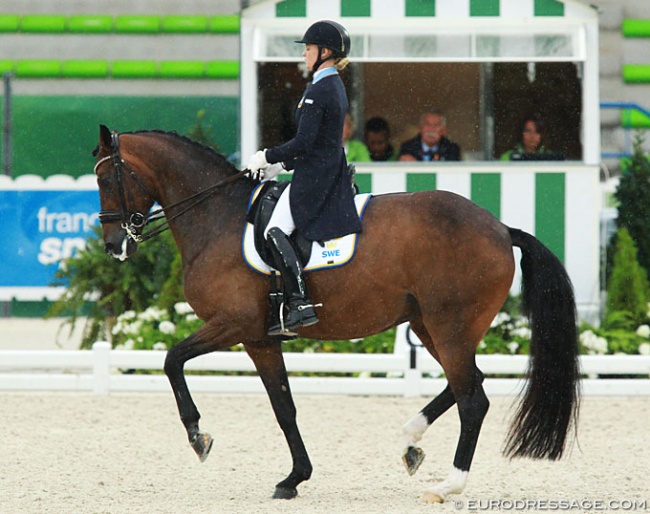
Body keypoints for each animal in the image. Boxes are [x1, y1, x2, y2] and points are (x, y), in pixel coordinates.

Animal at [92, 124, 576, 500]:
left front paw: (198, 437)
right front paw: (294, 478)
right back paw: (410, 442)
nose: (114, 246)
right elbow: (283, 407)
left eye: (106, 179)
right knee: (469, 384)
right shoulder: (260, 337)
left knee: (473, 399)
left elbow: (171, 359)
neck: (219, 218)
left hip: (449, 327)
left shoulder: (232, 324)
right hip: (430, 325)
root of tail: (501, 228)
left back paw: (447, 485)